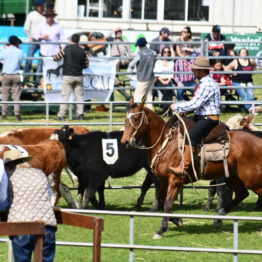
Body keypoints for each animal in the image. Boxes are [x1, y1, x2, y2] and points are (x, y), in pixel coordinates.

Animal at [121, 97, 262, 237]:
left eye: (136, 119)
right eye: (125, 119)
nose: (125, 142)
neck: (166, 143)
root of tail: (257, 140)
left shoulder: (175, 180)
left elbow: (167, 203)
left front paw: (161, 230)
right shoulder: (163, 180)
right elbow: (161, 200)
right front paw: (177, 220)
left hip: (252, 179)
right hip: (234, 177)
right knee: (242, 194)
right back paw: (219, 217)